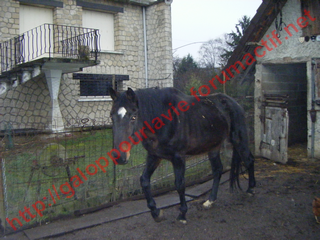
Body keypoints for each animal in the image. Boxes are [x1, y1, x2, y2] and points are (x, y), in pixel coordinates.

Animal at [109, 87, 255, 224]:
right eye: (112, 117)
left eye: (133, 117)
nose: (119, 157)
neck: (165, 120)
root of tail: (234, 102)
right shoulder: (154, 156)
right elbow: (144, 180)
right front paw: (156, 212)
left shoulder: (178, 157)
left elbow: (179, 184)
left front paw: (182, 214)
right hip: (213, 147)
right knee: (218, 170)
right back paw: (210, 201)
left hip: (238, 139)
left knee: (249, 160)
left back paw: (251, 189)